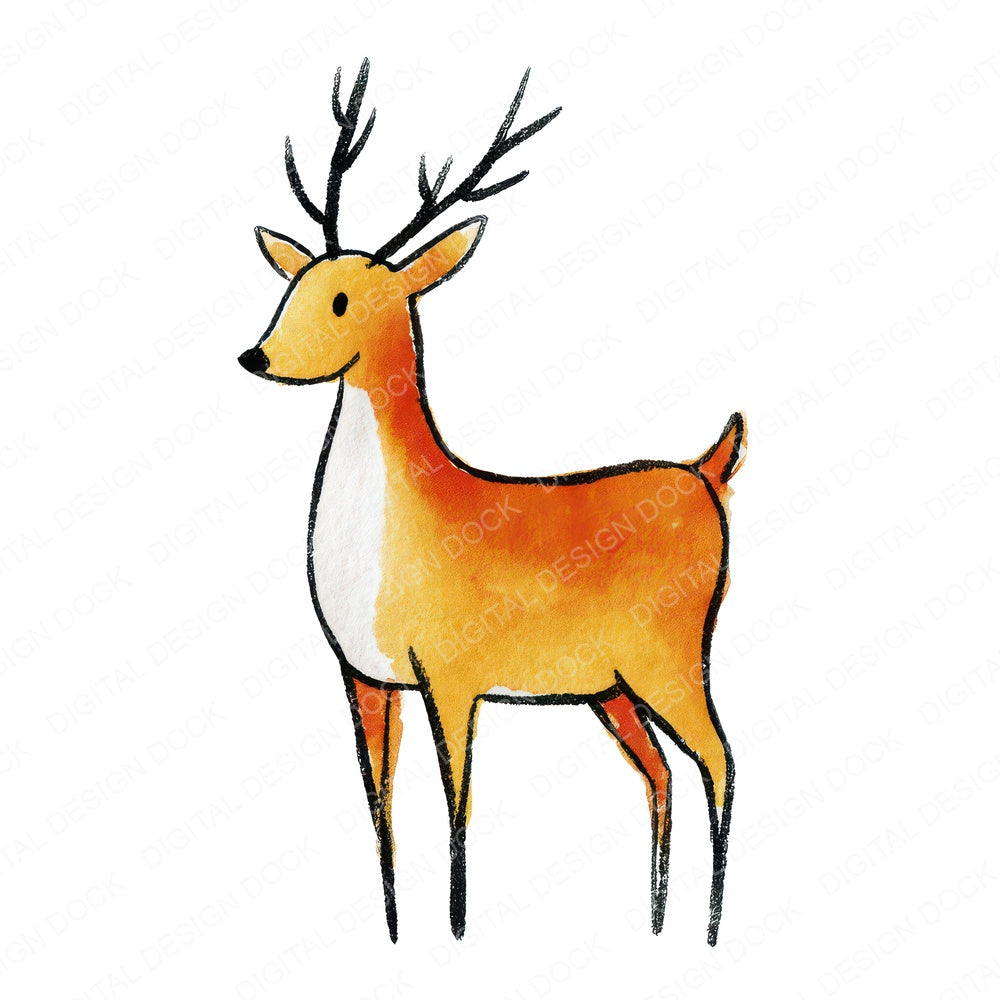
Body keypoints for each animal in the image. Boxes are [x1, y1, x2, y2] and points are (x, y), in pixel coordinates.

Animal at [237, 59, 745, 946]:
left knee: (721, 762)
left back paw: (711, 929)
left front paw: (457, 929)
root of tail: (708, 469)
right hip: (610, 687)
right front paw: (394, 932)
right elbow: (380, 815)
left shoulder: (452, 673)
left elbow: (457, 808)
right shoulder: (363, 678)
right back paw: (652, 923)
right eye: (295, 282)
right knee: (659, 775)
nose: (256, 355)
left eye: (342, 300)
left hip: (674, 658)